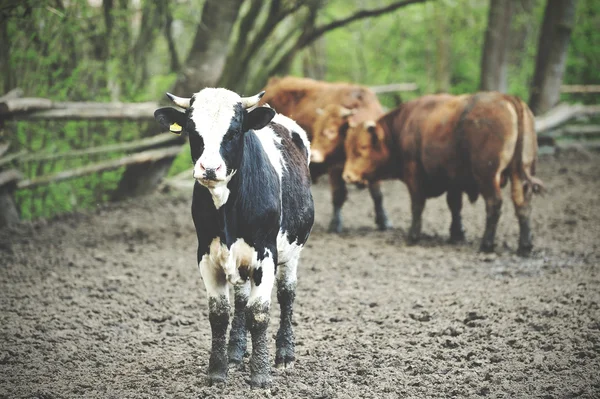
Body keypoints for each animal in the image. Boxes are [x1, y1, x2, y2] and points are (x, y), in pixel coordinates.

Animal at [154, 87, 314, 388]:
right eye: (192, 129)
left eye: (234, 131)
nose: (209, 168)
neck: (226, 208)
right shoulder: (206, 254)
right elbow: (219, 314)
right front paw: (218, 371)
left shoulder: (266, 254)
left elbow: (259, 313)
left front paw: (260, 374)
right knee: (241, 300)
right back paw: (236, 352)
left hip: (292, 252)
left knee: (287, 294)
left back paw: (285, 354)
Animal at [260, 76, 392, 233]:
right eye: (317, 129)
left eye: (332, 131)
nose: (314, 154)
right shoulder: (334, 167)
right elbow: (338, 195)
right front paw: (335, 224)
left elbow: (377, 195)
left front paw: (384, 221)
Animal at [342, 93, 544, 256]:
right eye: (348, 147)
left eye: (362, 148)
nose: (347, 176)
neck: (404, 125)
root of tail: (508, 98)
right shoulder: (454, 179)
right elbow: (454, 206)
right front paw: (457, 234)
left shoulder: (414, 174)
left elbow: (417, 205)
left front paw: (413, 236)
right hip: (519, 173)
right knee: (522, 205)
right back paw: (525, 246)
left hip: (487, 176)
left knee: (494, 204)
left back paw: (486, 245)